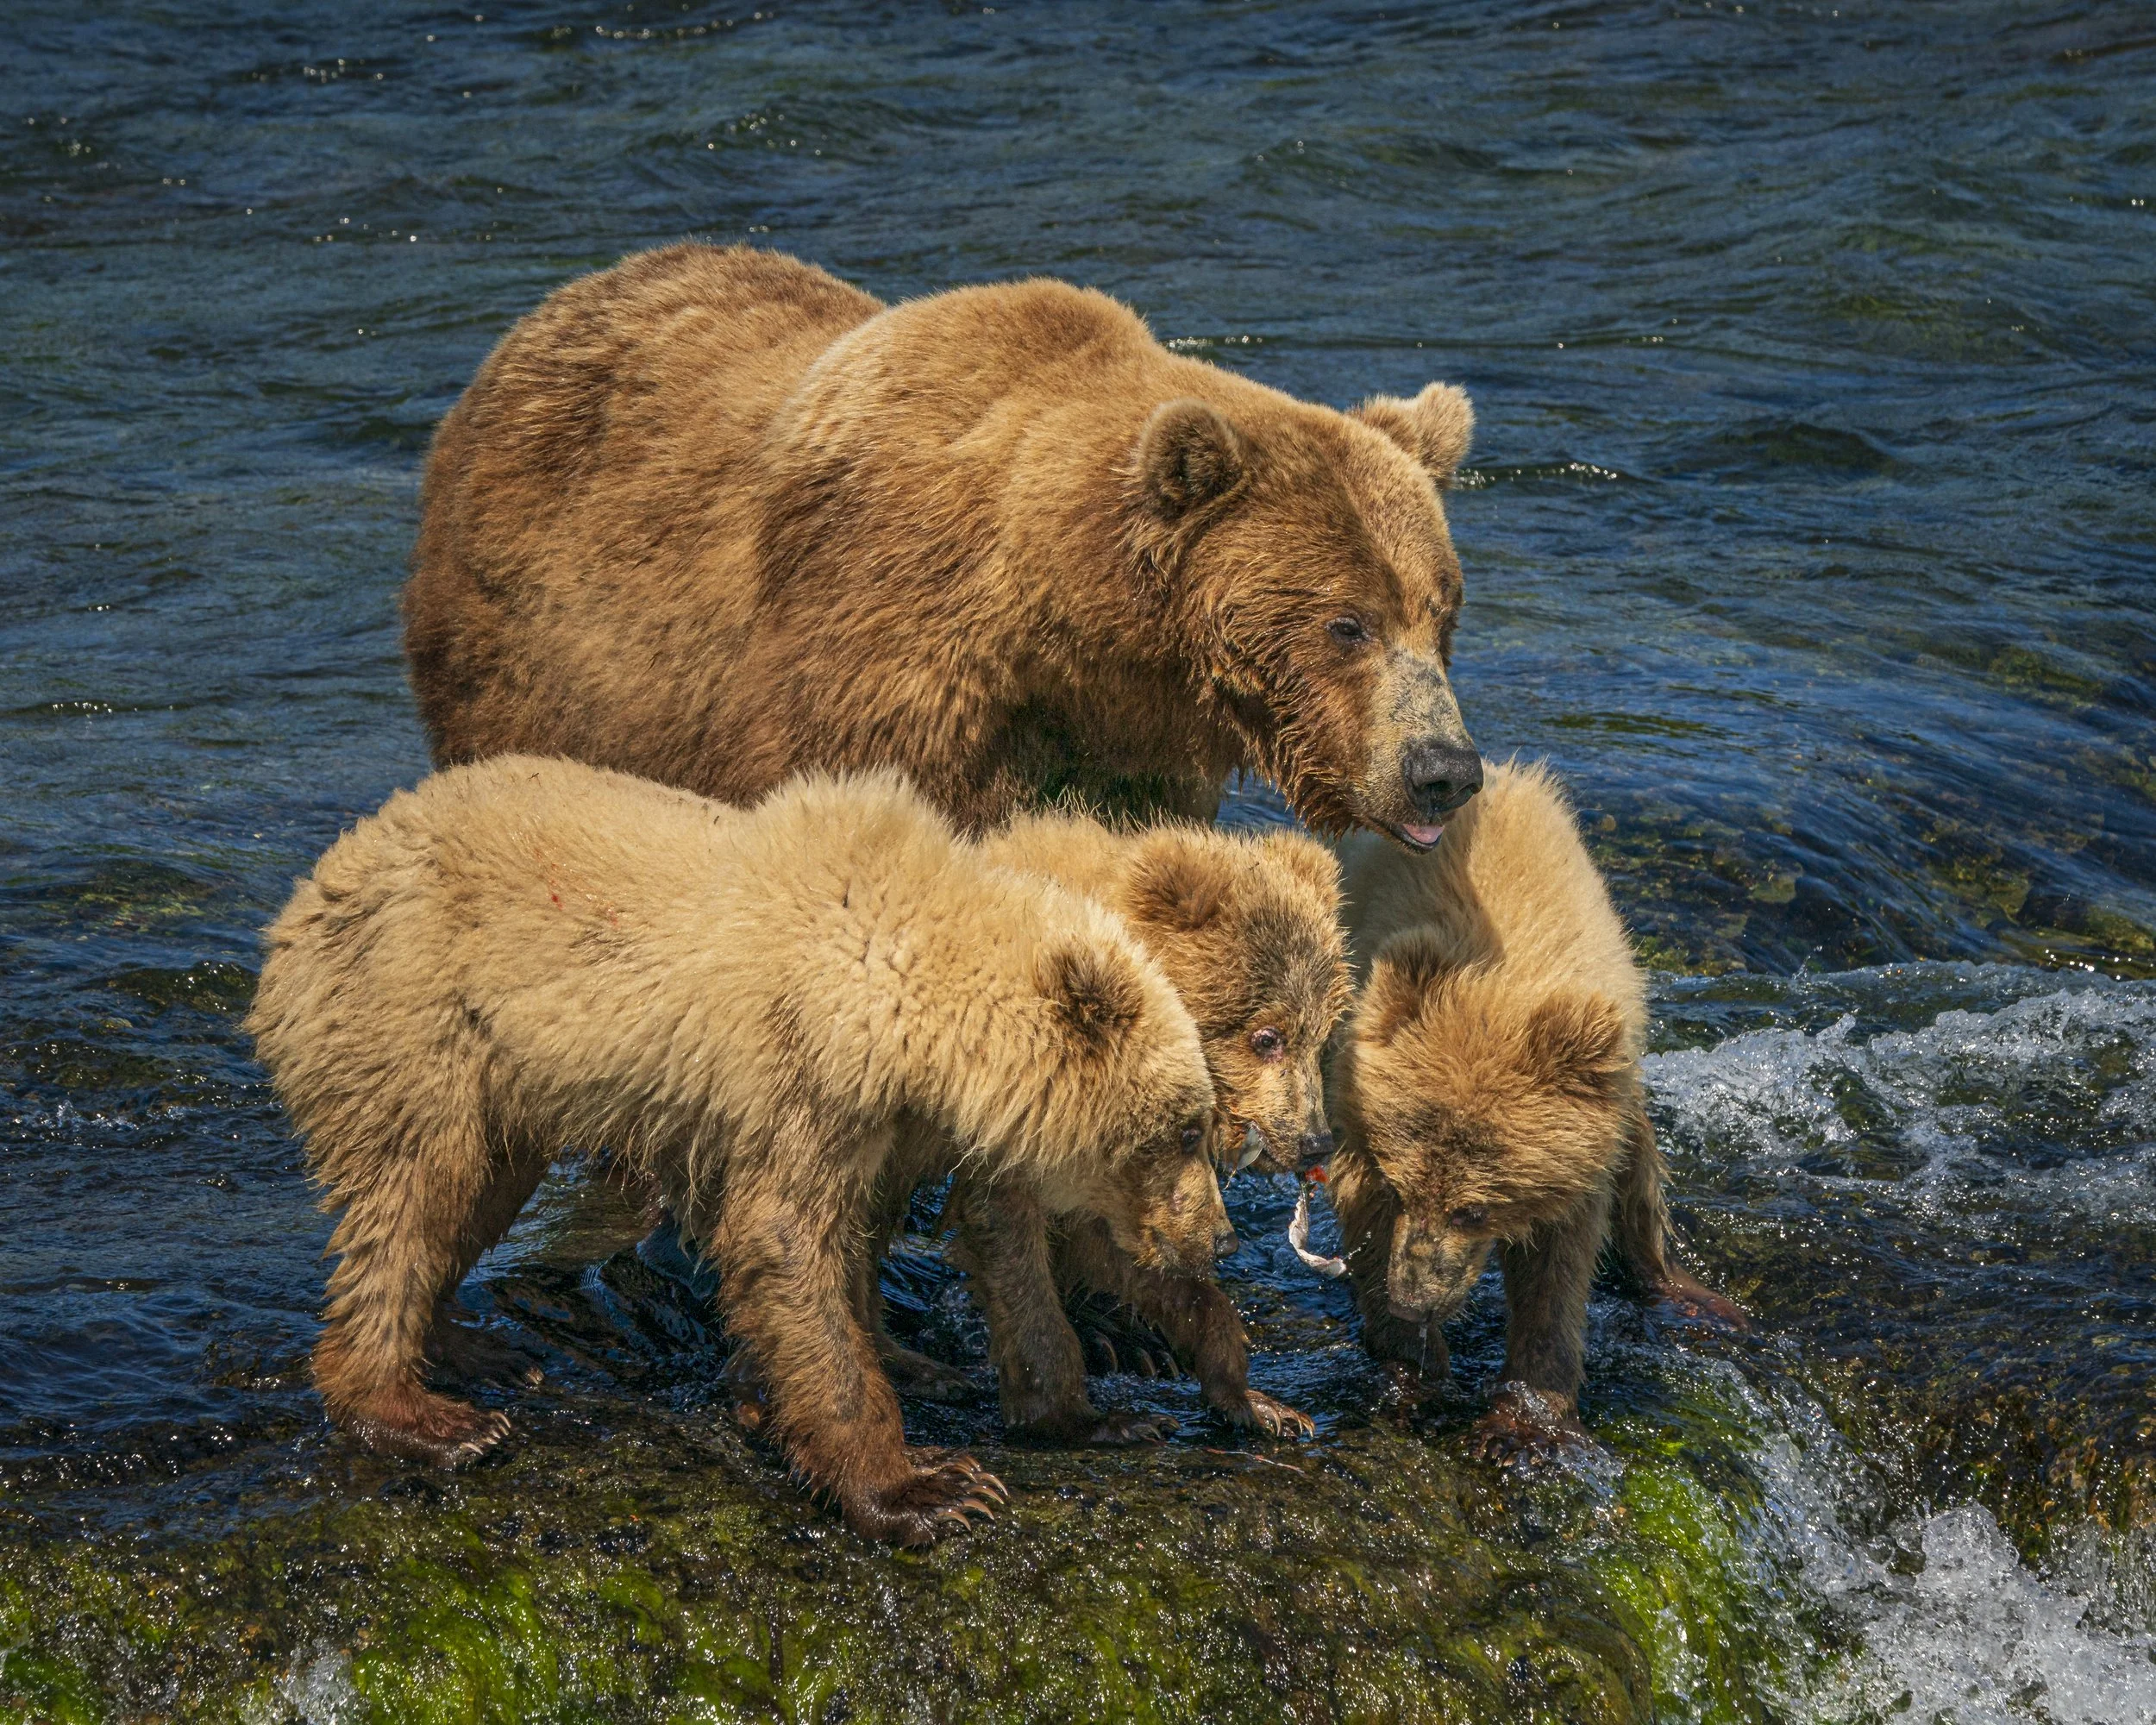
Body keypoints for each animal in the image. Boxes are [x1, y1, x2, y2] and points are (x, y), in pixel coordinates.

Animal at [245, 756, 1226, 1545]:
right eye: (1187, 1125)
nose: (1215, 1234)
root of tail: (302, 897)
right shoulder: (801, 1069)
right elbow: (784, 1235)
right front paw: (928, 1486)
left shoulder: (874, 1118)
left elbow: (845, 1249)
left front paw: (1083, 1415)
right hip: (413, 1012)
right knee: (414, 1195)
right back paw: (426, 1414)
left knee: (475, 1194)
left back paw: (477, 1348)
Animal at [403, 244, 1483, 843]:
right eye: (1346, 623)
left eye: (1442, 614)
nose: (1443, 768)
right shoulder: (880, 663)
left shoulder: (1124, 752)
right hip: (529, 656)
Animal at [854, 812, 1351, 1444]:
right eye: (1267, 1036)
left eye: (1323, 1034)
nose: (1315, 1141)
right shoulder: (1019, 1119)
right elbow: (1013, 1241)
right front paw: (1085, 1411)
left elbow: (1126, 1244)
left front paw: (1256, 1399)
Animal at [1325, 760, 1745, 1457]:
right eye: (1401, 1185)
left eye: (1474, 1209)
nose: (1415, 1298)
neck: (1499, 978)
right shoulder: (1356, 1110)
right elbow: (1364, 1223)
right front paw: (1413, 1366)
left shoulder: (1580, 1155)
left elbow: (1558, 1269)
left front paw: (1525, 1417)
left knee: (1640, 1175)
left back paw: (1683, 1290)